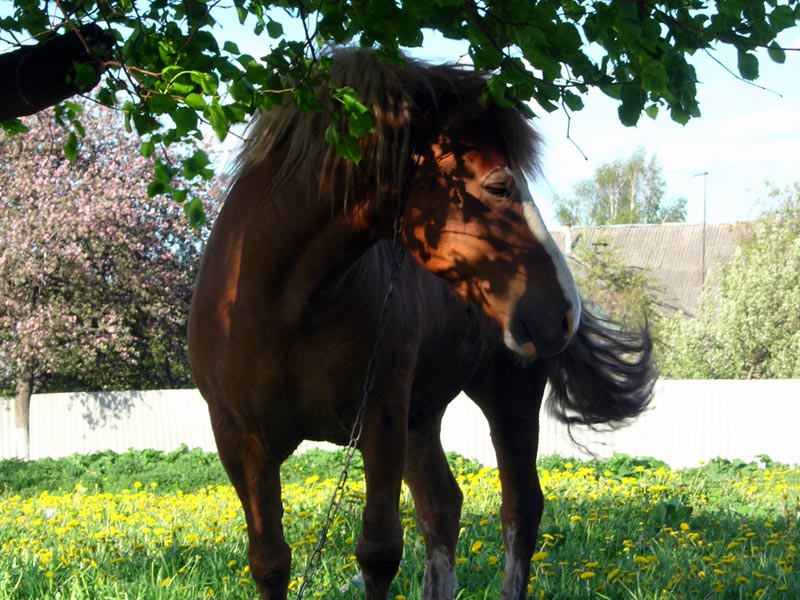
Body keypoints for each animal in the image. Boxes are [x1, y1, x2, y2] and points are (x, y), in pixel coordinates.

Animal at [188, 47, 655, 600]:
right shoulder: (241, 442)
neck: (282, 307)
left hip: (506, 399)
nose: (564, 310)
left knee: (520, 508)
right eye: (499, 185)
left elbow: (378, 552)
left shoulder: (381, 423)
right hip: (422, 418)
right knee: (442, 506)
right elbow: (270, 562)